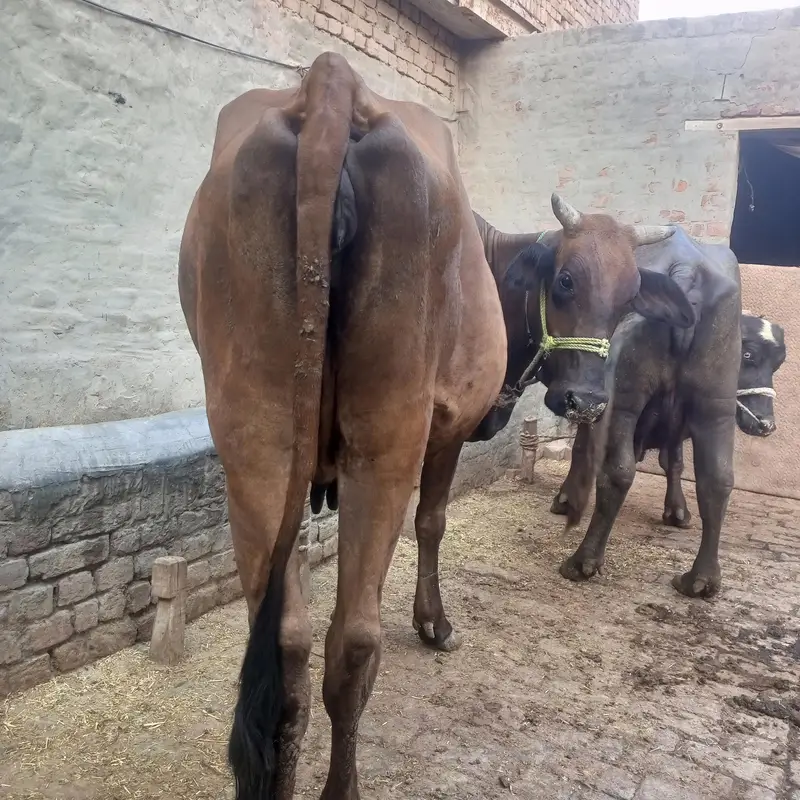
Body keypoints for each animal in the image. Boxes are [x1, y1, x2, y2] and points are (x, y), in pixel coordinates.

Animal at [178, 52, 687, 799]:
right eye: (565, 281)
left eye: (629, 299)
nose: (589, 401)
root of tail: (333, 84)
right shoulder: (446, 429)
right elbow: (433, 522)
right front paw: (433, 622)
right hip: (385, 437)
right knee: (352, 640)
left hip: (255, 438)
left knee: (284, 642)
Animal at [551, 311, 786, 530]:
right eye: (748, 354)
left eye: (778, 363)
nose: (766, 425)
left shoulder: (678, 425)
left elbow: (674, 463)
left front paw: (677, 511)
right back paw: (565, 499)